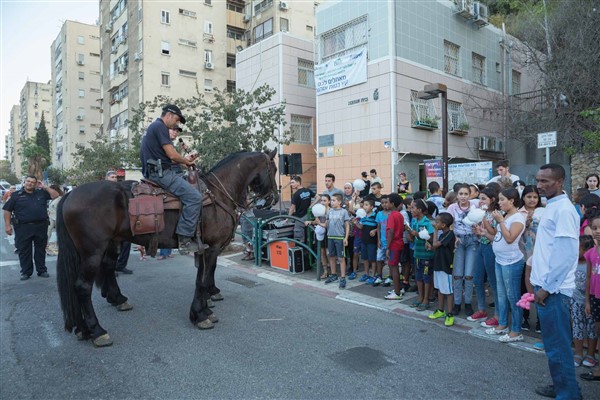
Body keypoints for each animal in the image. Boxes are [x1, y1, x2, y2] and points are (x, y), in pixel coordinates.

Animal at [55, 151, 276, 346]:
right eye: (273, 169)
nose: (272, 198)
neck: (217, 194)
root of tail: (71, 194)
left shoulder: (203, 248)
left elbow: (202, 278)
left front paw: (205, 308)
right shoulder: (211, 248)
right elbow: (203, 280)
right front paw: (200, 314)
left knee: (102, 270)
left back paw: (90, 322)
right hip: (92, 253)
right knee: (83, 287)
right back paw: (96, 330)